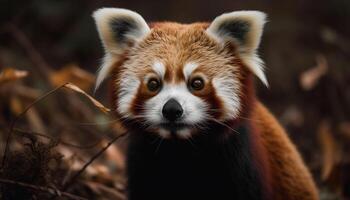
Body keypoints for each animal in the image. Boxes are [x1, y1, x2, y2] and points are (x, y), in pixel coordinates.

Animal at [92, 7, 318, 200]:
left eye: (197, 83)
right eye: (153, 83)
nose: (172, 109)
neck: (181, 148)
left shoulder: (242, 162)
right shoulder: (142, 162)